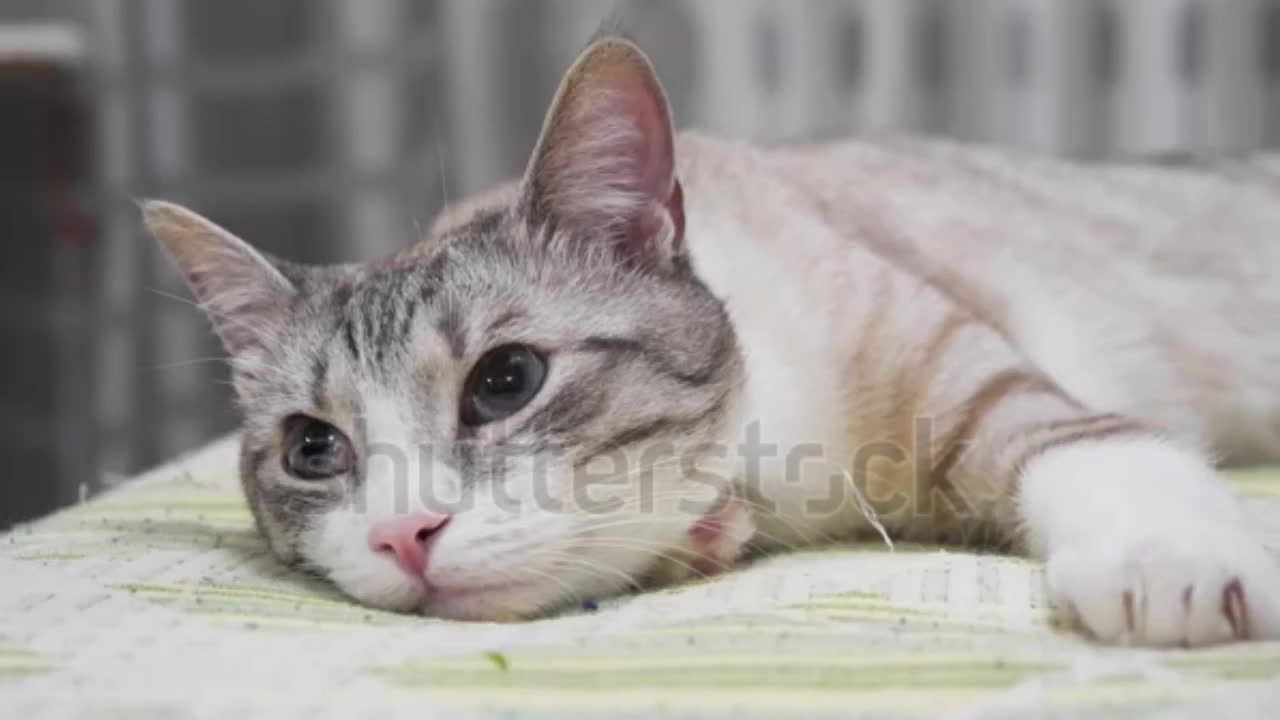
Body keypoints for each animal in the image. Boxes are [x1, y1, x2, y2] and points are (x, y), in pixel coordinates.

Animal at [145, 37, 1280, 645]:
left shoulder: (976, 378)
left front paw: (1166, 567)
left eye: (505, 381)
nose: (401, 534)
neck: (780, 488)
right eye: (312, 449)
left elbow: (1093, 451)